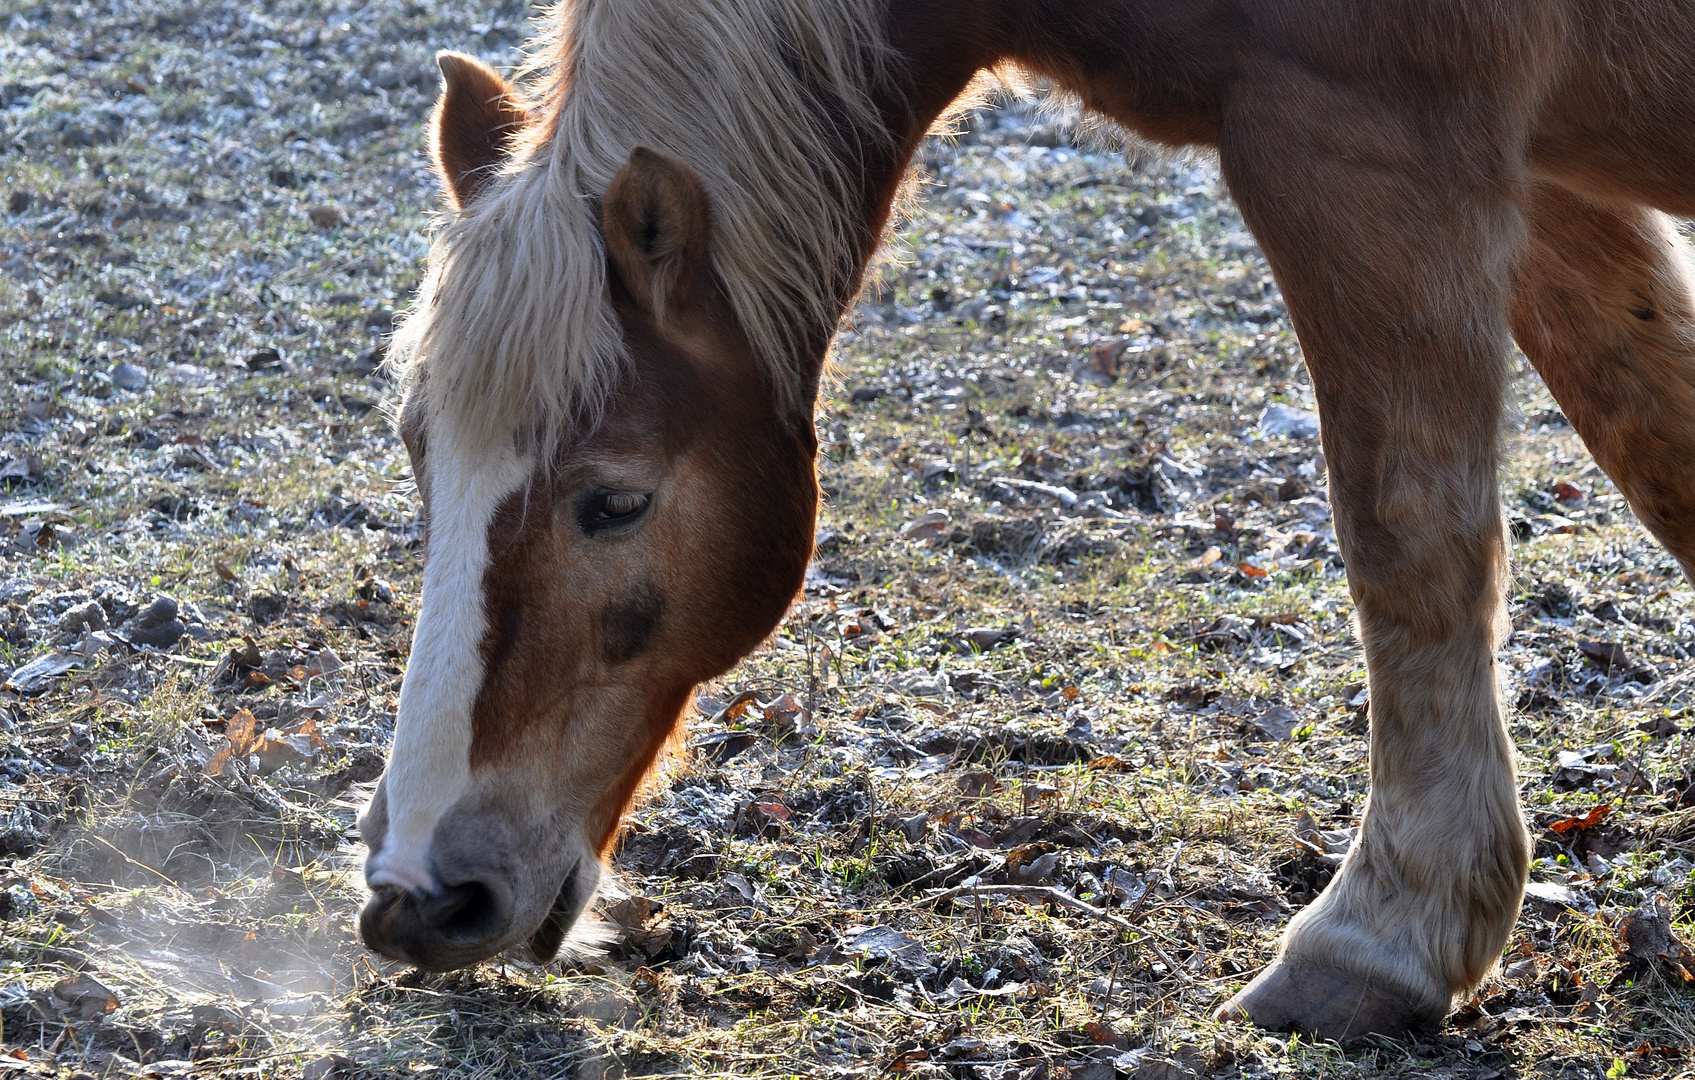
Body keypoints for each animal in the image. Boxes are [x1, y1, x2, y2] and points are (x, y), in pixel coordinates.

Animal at [357, 0, 1695, 1037]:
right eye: (423, 459)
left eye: (616, 501)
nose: (415, 895)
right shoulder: (1537, 176)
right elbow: (1655, 437)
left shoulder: (1367, 144)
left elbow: (1406, 536)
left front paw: (1383, 939)